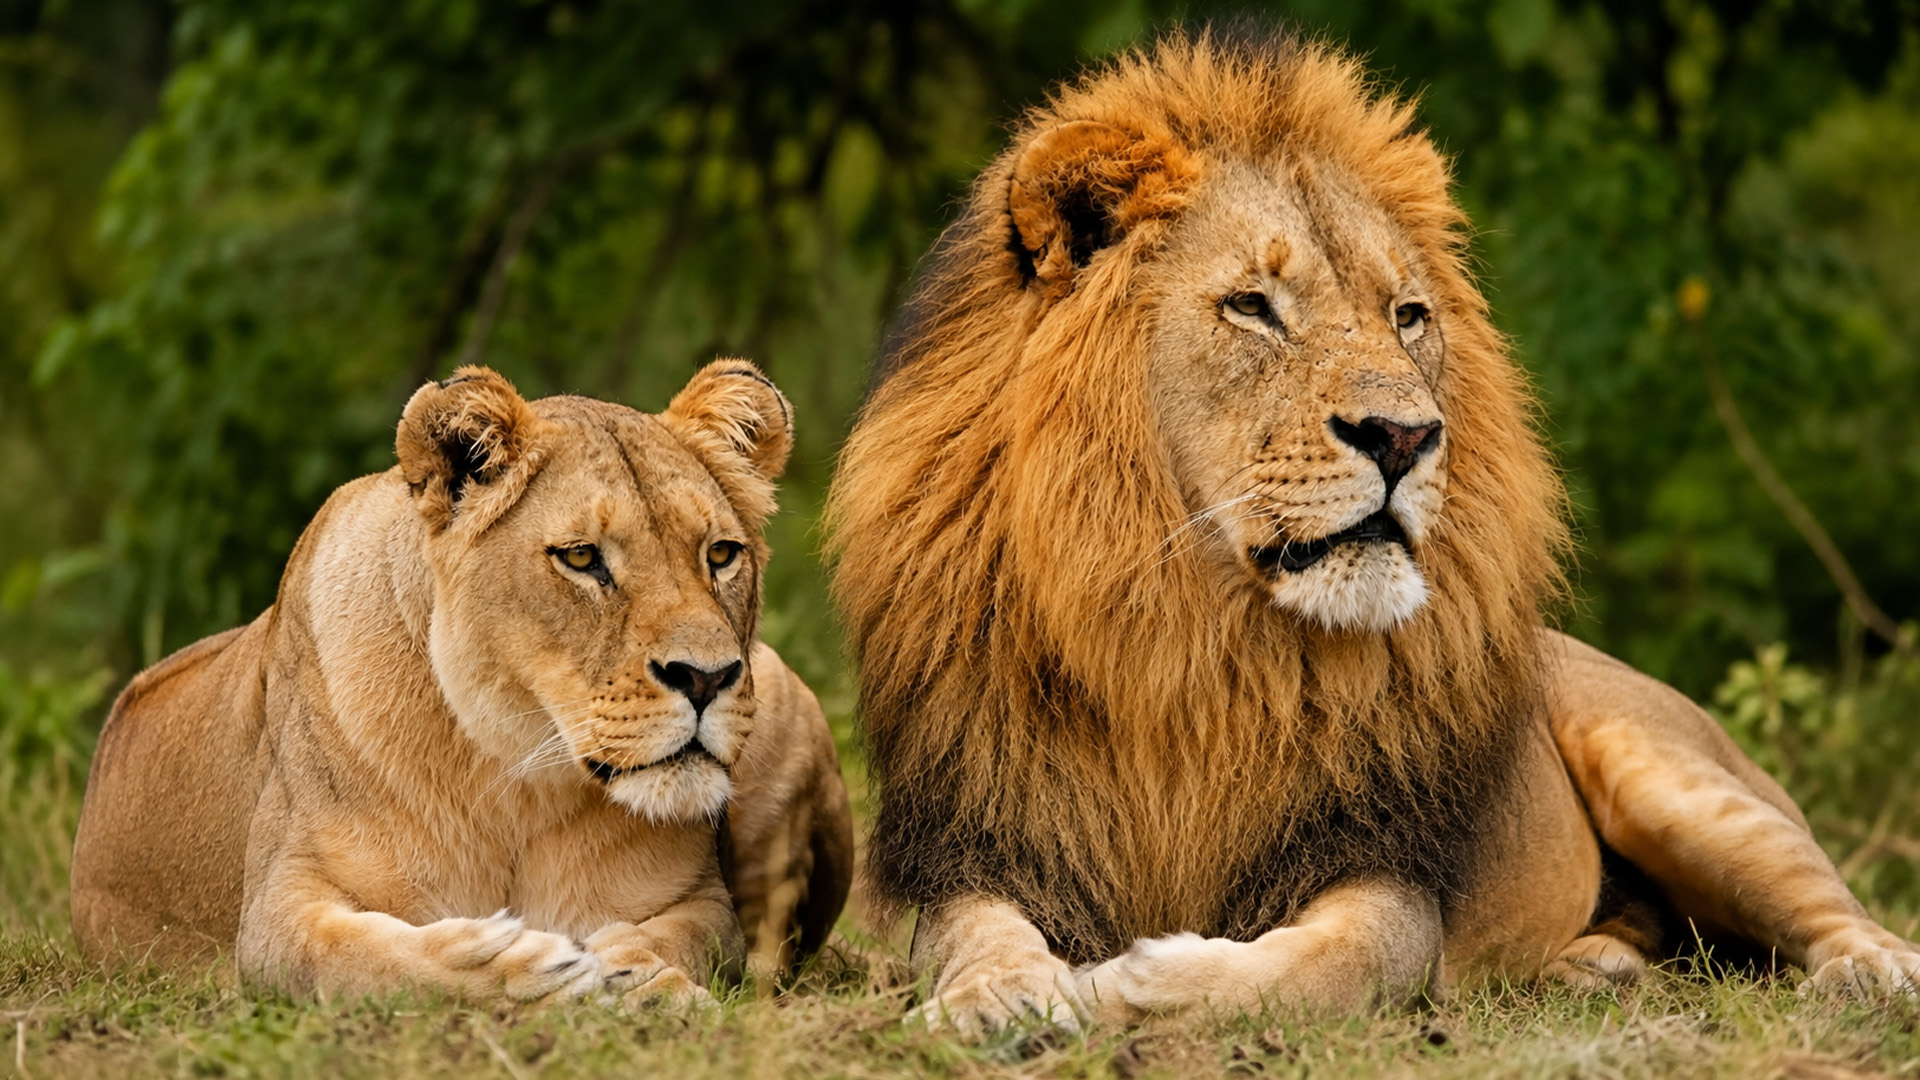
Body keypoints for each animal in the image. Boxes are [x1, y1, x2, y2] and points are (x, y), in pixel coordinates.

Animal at [70, 361, 854, 1001]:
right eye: (581, 558)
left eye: (720, 554)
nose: (708, 677)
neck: (513, 773)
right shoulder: (275, 913)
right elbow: (365, 962)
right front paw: (535, 969)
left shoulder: (698, 899)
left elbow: (681, 939)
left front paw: (636, 978)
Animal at [824, 31, 1919, 1036]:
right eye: (1253, 306)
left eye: (1407, 315)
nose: (1406, 434)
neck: (1187, 638)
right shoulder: (989, 842)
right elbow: (969, 937)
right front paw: (1000, 996)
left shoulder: (1382, 867)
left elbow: (1325, 964)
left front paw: (1128, 978)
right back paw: (1592, 970)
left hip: (1680, 780)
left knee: (1835, 908)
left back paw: (1871, 974)